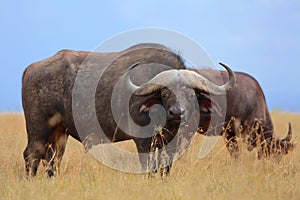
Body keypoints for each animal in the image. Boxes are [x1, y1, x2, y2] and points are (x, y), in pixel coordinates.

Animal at [22, 43, 236, 177]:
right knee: (31, 155)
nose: (177, 112)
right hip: (38, 131)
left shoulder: (170, 145)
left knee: (52, 159)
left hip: (59, 133)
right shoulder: (143, 143)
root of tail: (30, 68)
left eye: (191, 94)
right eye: (165, 93)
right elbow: (149, 168)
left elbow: (164, 169)